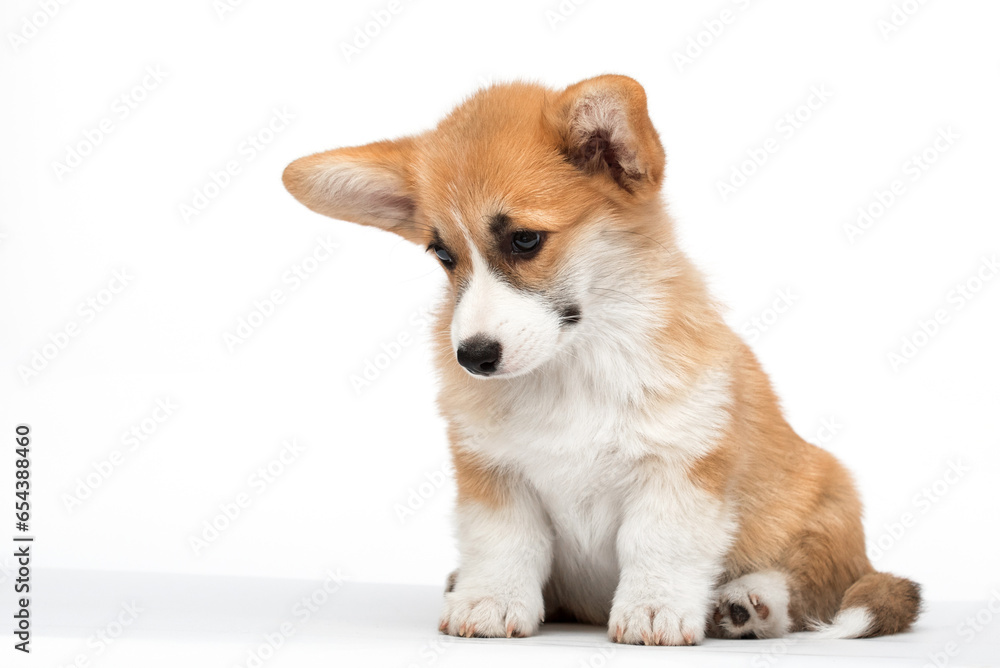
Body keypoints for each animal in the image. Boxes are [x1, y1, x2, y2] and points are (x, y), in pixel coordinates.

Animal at [282, 75, 920, 644]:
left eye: (525, 241)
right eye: (442, 254)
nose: (473, 357)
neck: (573, 366)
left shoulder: (680, 468)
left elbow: (657, 544)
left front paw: (654, 610)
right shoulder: (495, 475)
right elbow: (505, 544)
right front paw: (490, 601)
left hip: (827, 502)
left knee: (811, 585)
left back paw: (748, 605)